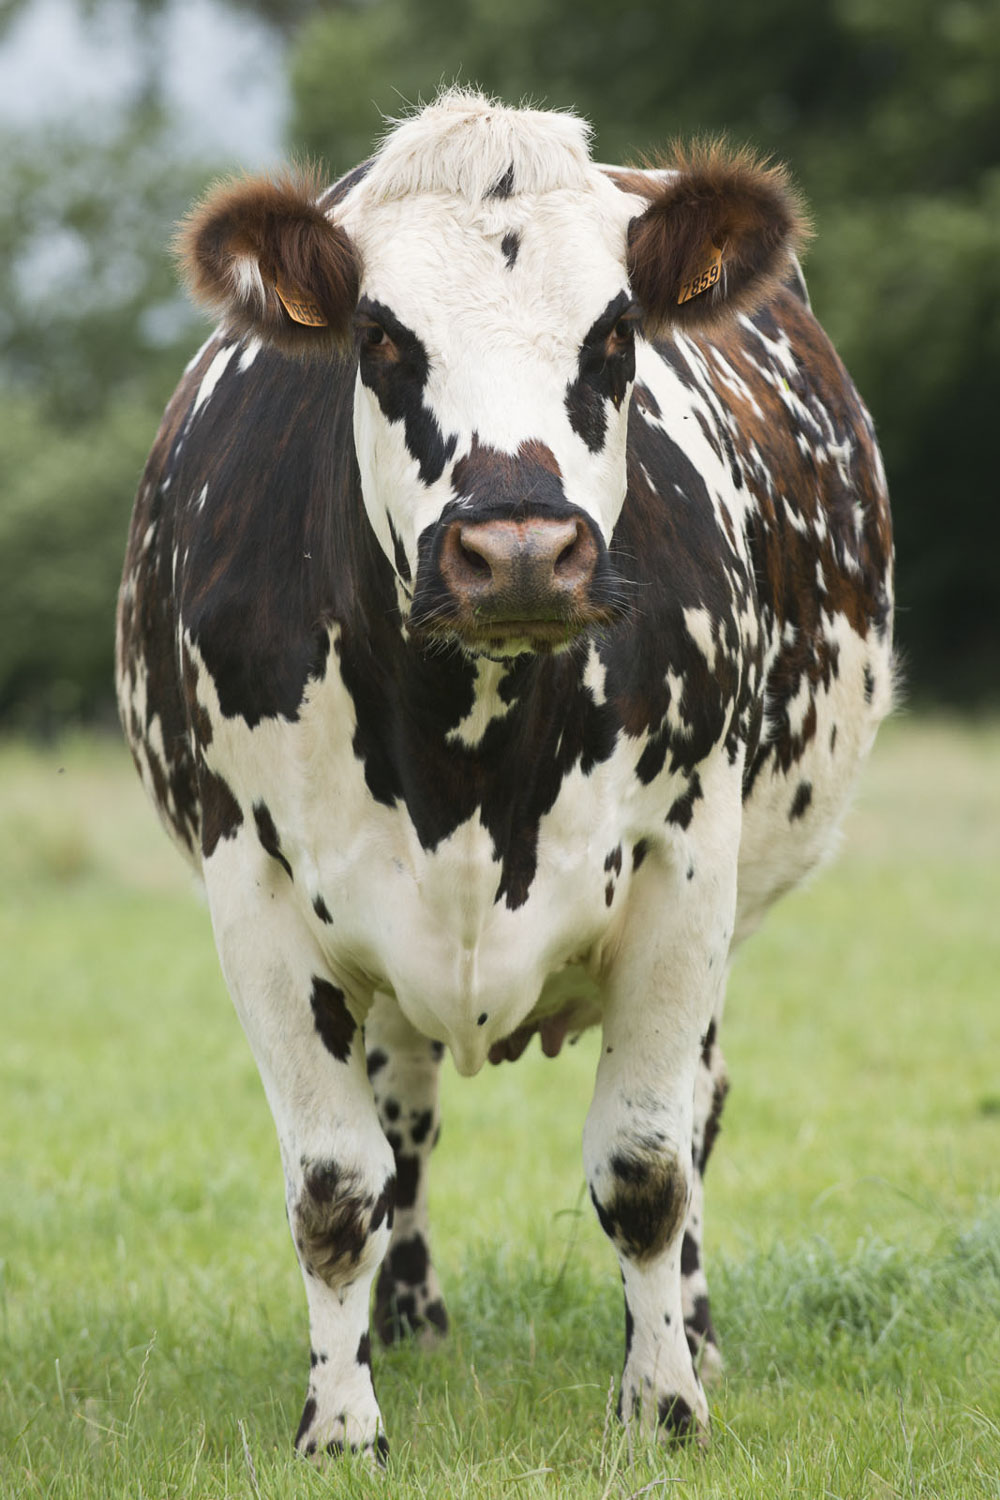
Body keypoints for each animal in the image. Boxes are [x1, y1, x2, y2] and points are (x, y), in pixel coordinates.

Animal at [115, 90, 893, 1464]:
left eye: (616, 330)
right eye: (379, 336)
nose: (519, 548)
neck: (464, 756)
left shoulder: (685, 865)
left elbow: (646, 1167)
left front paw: (664, 1404)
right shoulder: (251, 883)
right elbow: (337, 1188)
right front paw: (343, 1424)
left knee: (698, 1104)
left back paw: (692, 1331)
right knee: (403, 1116)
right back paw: (406, 1324)